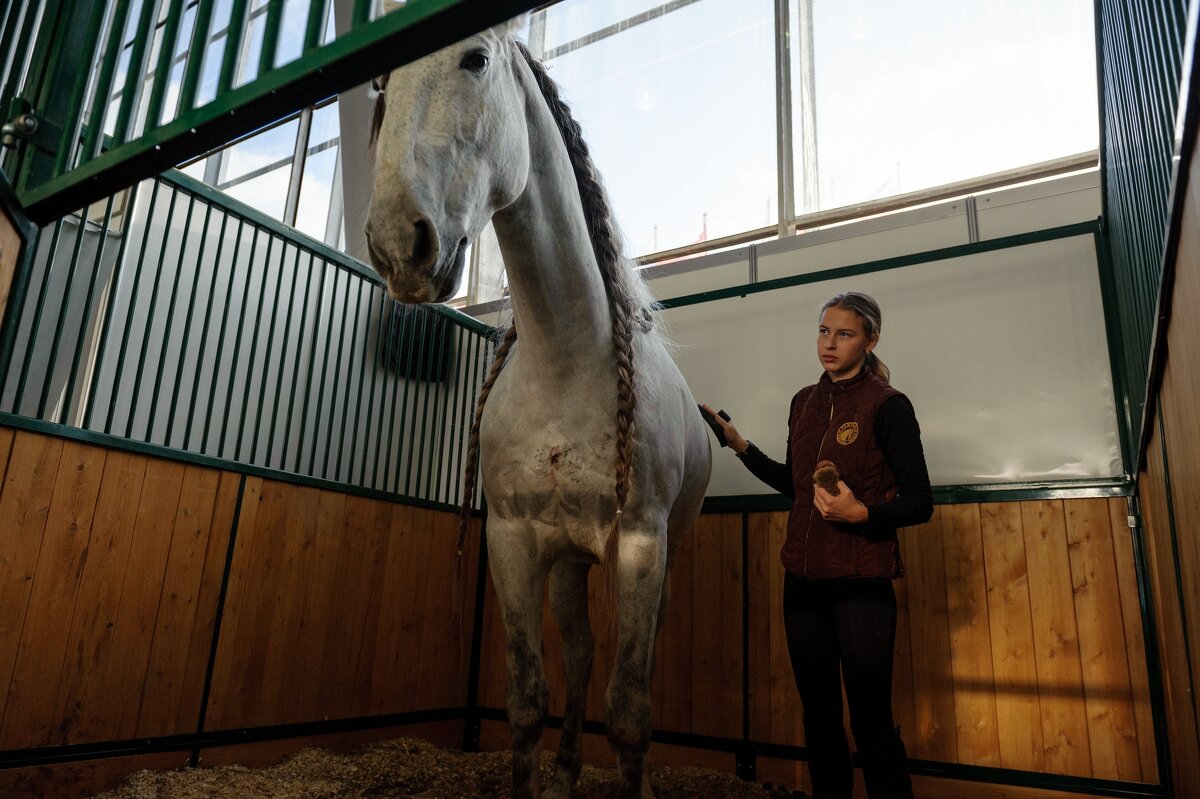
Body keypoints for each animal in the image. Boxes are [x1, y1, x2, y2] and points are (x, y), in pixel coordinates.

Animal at [360, 14, 705, 796]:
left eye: (475, 59)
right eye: (383, 84)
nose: (398, 247)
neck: (564, 363)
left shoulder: (642, 545)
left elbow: (630, 711)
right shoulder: (513, 542)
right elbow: (525, 699)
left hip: (658, 554)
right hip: (571, 563)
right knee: (578, 651)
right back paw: (570, 768)